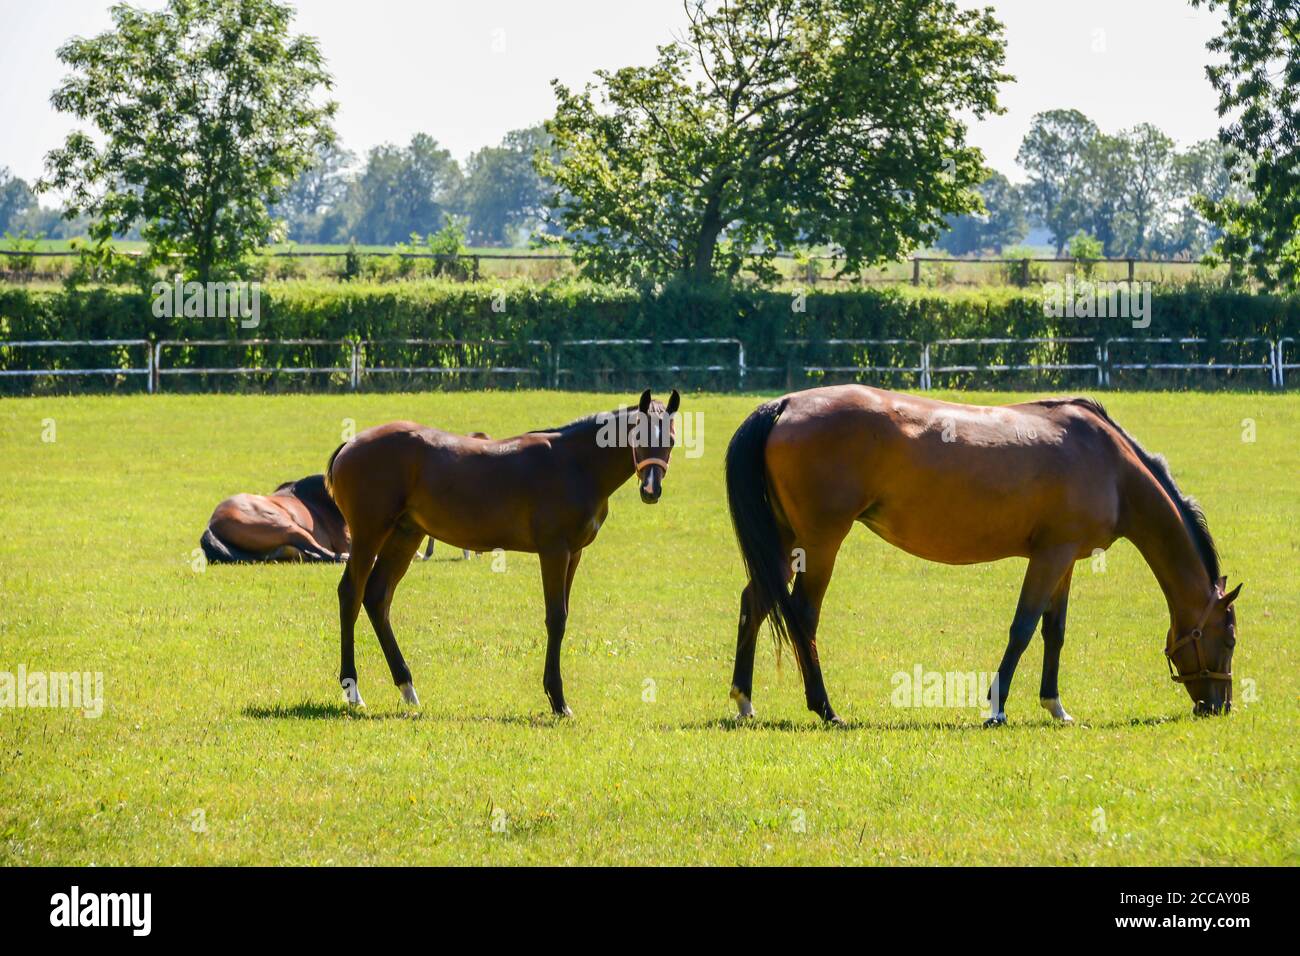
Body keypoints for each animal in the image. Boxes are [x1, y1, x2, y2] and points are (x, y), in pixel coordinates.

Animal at [325, 390, 681, 712]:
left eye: (671, 440)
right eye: (638, 435)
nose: (651, 489)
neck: (575, 464)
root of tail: (350, 446)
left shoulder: (574, 553)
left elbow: (563, 615)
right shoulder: (554, 551)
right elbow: (556, 618)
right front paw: (558, 699)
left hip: (405, 535)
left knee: (377, 596)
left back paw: (407, 687)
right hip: (369, 535)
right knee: (351, 594)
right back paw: (353, 691)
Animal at [728, 385, 1242, 728]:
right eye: (1230, 638)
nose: (1220, 706)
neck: (1110, 464)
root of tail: (786, 405)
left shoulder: (1065, 560)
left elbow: (1054, 633)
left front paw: (1055, 706)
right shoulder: (1050, 556)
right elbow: (1023, 628)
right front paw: (996, 709)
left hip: (785, 544)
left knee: (755, 603)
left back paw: (744, 700)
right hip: (819, 544)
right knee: (803, 615)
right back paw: (825, 709)